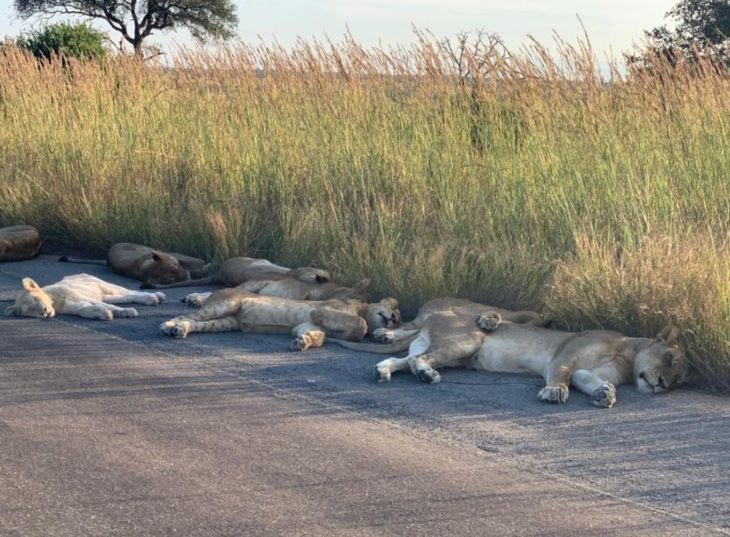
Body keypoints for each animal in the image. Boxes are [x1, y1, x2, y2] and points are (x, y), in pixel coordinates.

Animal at [3, 274, 165, 320]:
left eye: (35, 299)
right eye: (30, 311)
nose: (43, 312)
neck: (55, 302)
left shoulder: (79, 296)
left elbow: (110, 306)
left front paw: (126, 312)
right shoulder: (75, 307)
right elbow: (86, 310)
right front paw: (103, 314)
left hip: (104, 285)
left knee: (131, 292)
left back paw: (155, 297)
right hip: (105, 295)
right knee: (123, 297)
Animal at [159, 286, 398, 350]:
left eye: (398, 319)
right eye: (395, 309)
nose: (394, 319)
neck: (362, 307)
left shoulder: (305, 323)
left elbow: (317, 335)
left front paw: (303, 342)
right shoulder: (321, 310)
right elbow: (362, 324)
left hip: (225, 322)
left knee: (197, 323)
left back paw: (180, 330)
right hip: (226, 303)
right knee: (186, 314)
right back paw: (168, 325)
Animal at [332, 304, 684, 404]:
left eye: (680, 381)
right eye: (670, 359)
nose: (664, 385)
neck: (627, 353)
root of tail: (434, 317)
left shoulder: (587, 371)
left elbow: (591, 380)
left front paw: (605, 394)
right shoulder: (565, 356)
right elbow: (560, 375)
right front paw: (554, 392)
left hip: (449, 351)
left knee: (402, 359)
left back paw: (383, 370)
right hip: (467, 340)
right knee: (420, 360)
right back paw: (427, 375)